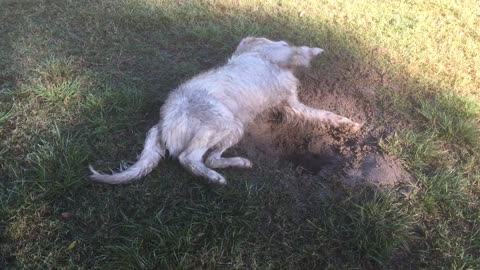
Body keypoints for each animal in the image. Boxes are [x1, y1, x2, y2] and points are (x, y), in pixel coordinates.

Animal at [89, 37, 360, 185]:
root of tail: (162, 125)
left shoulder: (292, 103)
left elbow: (324, 114)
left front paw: (348, 123)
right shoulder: (279, 53)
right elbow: (300, 50)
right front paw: (316, 51)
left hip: (234, 128)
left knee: (210, 158)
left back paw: (238, 163)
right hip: (222, 122)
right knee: (190, 158)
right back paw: (213, 178)